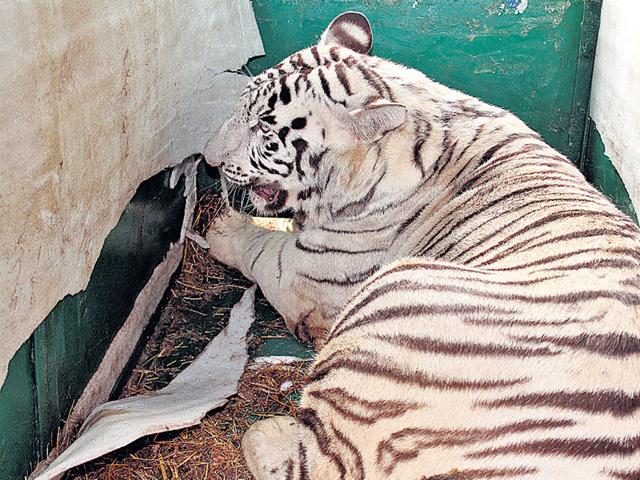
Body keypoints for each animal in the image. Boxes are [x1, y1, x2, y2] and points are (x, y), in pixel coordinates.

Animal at [203, 11, 640, 480]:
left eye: (264, 129)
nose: (208, 159)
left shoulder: (307, 272)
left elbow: (261, 248)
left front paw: (224, 229)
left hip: (396, 293)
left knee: (320, 461)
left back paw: (262, 431)